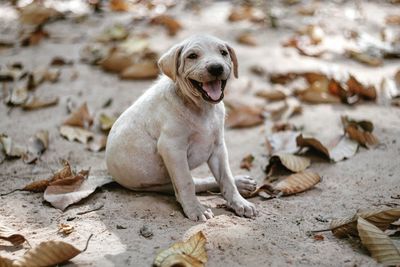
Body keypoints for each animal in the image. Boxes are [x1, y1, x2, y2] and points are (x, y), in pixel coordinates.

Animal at [104, 34, 258, 222]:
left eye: (223, 53)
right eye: (192, 56)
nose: (216, 68)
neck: (202, 108)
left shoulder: (218, 147)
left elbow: (225, 178)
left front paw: (239, 202)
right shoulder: (172, 149)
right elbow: (186, 182)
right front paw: (195, 209)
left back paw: (241, 183)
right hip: (159, 184)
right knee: (193, 183)